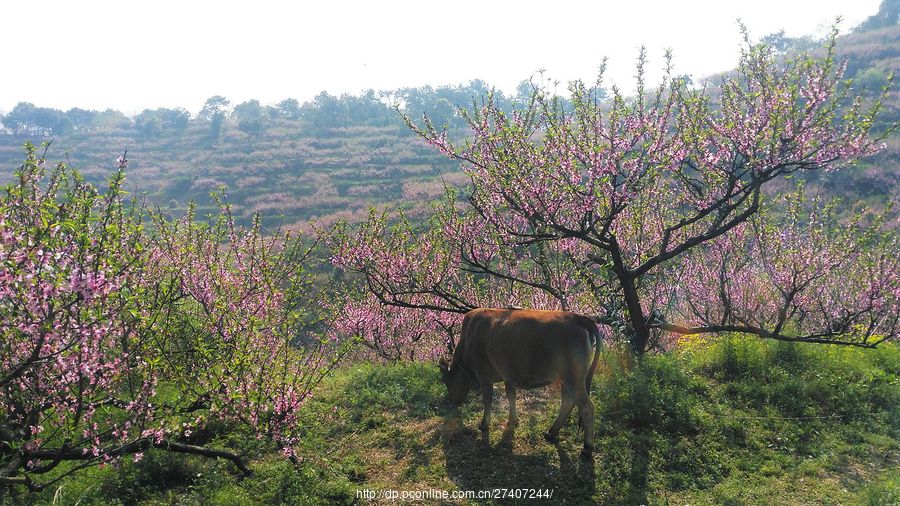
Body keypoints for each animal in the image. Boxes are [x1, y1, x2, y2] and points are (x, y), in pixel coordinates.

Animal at [440, 308, 600, 458]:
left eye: (446, 380)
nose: (452, 401)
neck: (468, 341)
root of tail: (578, 317)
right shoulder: (509, 376)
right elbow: (511, 396)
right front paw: (513, 420)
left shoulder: (484, 377)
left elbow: (488, 401)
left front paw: (484, 424)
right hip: (566, 380)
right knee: (567, 402)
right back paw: (551, 433)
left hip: (574, 380)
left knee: (586, 407)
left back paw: (587, 448)